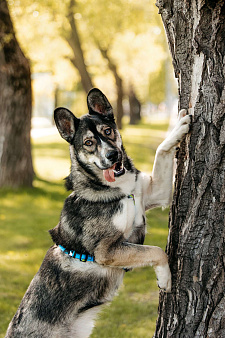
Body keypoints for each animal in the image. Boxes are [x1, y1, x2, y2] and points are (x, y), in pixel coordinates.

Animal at [5, 88, 191, 336]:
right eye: (89, 142)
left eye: (108, 131)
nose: (112, 155)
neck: (120, 191)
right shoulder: (107, 250)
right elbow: (157, 251)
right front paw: (165, 278)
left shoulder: (156, 193)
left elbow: (161, 150)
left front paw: (179, 126)